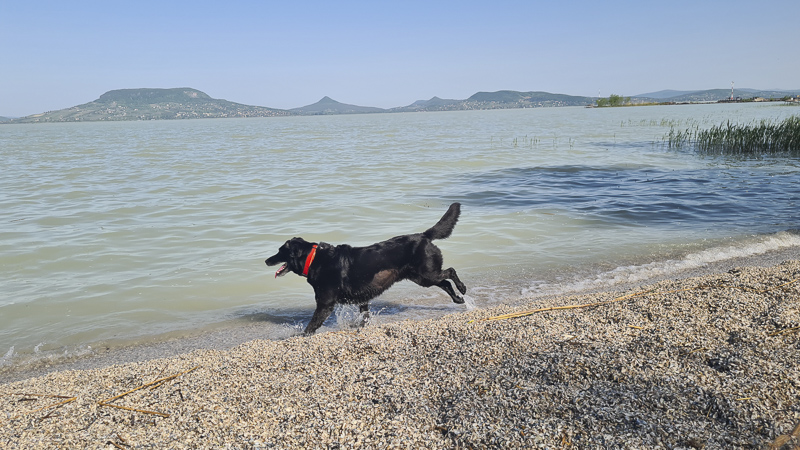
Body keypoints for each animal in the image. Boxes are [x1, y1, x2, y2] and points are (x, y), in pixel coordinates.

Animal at [266, 203, 466, 334]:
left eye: (280, 251)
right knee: (445, 283)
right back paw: (458, 299)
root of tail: (424, 236)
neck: (315, 259)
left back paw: (462, 289)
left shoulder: (325, 303)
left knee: (450, 272)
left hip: (426, 274)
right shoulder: (362, 297)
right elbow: (364, 316)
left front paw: (301, 336)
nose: (266, 260)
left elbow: (312, 324)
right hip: (422, 277)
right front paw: (359, 326)